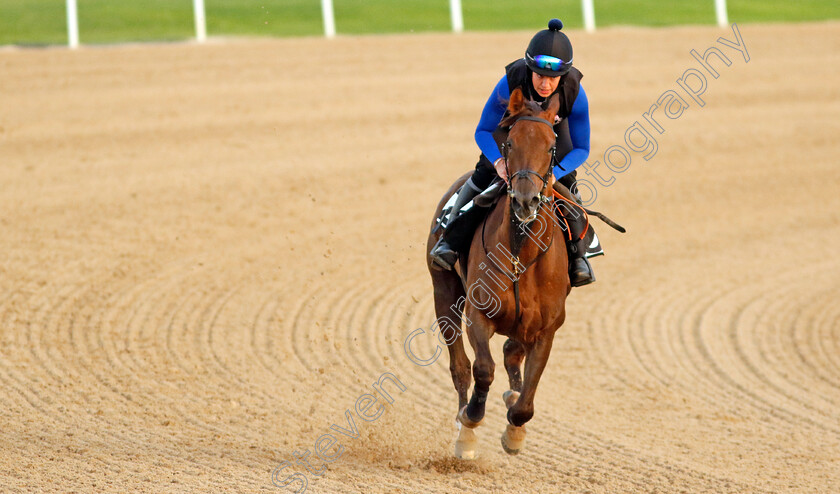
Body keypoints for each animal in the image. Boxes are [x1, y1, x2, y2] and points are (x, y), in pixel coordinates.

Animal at [426, 88, 572, 460]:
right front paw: (470, 425)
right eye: (509, 143)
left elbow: (526, 398)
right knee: (460, 368)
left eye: (551, 146)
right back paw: (462, 424)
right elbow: (482, 369)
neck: (521, 256)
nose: (525, 200)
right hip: (444, 293)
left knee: (511, 354)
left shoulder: (546, 329)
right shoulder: (478, 314)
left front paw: (515, 432)